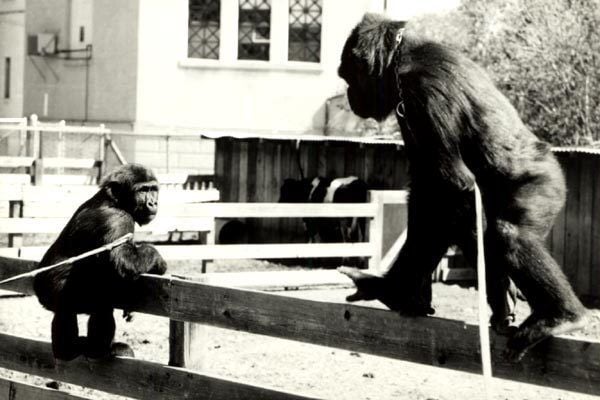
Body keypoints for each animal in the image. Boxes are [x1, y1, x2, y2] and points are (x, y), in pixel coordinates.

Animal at [34, 164, 168, 360]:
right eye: (142, 190)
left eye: (153, 190)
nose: (153, 202)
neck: (116, 202)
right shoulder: (117, 220)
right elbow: (122, 261)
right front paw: (160, 263)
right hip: (69, 294)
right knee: (102, 306)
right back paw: (101, 350)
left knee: (65, 314)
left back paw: (66, 350)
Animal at [338, 14, 592, 360]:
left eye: (350, 77)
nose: (349, 94)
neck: (402, 58)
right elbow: (429, 191)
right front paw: (398, 289)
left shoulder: (422, 94)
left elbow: (456, 185)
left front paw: (499, 295)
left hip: (545, 188)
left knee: (508, 234)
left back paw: (561, 316)